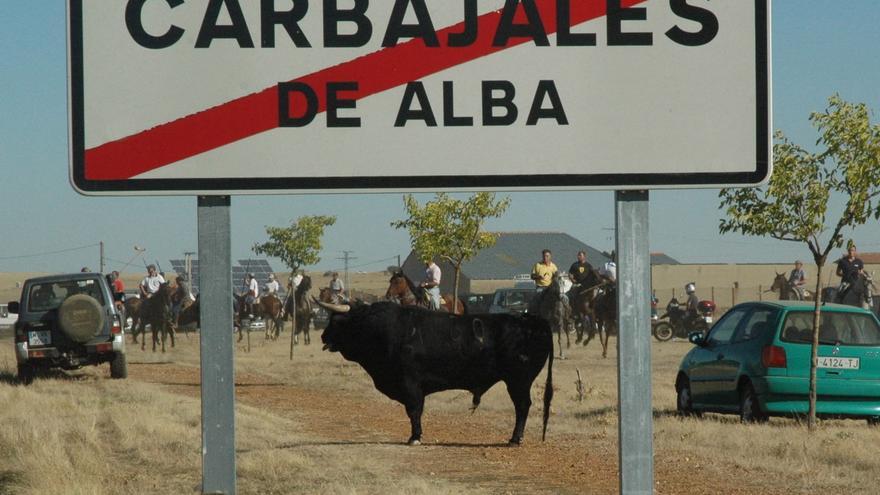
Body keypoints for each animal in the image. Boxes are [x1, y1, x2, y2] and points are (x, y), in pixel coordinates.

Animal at [318, 302, 552, 446]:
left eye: (336, 322)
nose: (322, 336)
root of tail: (531, 319)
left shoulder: (410, 384)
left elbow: (414, 411)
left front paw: (415, 437)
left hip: (518, 381)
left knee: (522, 406)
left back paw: (515, 439)